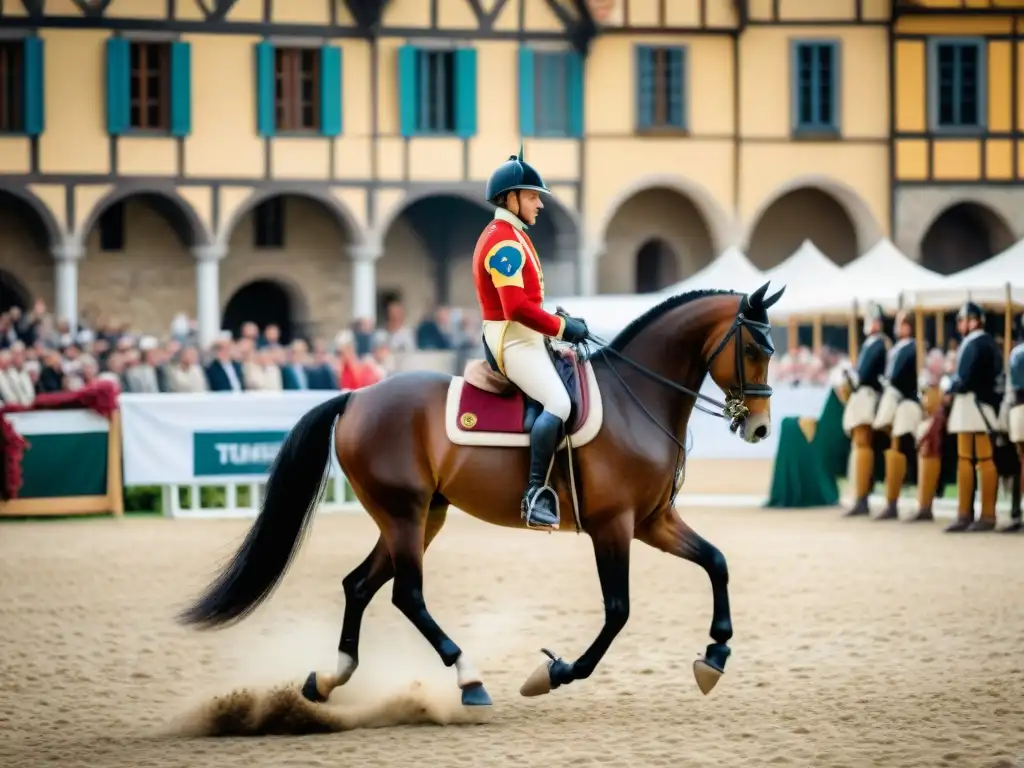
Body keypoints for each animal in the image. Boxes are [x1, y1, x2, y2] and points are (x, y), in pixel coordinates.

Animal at [180, 282, 782, 708]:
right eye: (756, 347)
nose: (758, 428)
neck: (638, 400)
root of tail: (356, 397)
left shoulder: (653, 521)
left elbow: (716, 562)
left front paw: (716, 654)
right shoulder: (614, 525)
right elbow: (618, 612)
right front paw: (555, 672)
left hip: (421, 516)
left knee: (360, 586)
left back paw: (330, 680)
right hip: (404, 514)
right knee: (407, 596)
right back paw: (468, 679)